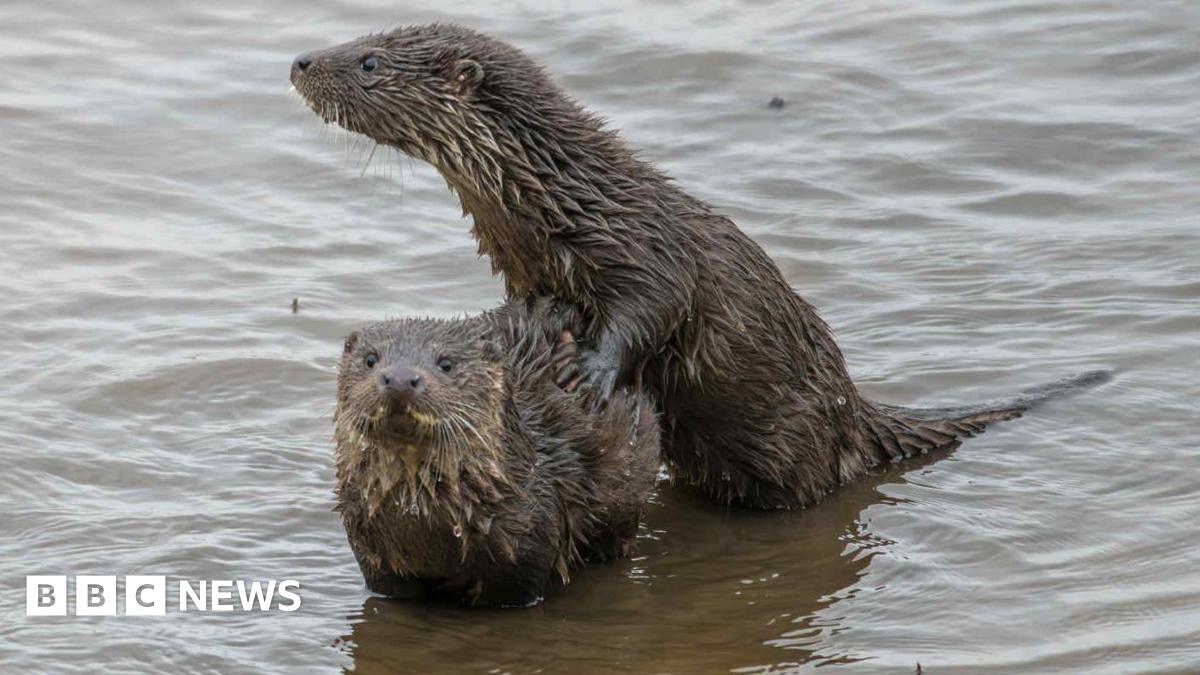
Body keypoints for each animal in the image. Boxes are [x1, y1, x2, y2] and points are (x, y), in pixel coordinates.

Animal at [295, 25, 1110, 510]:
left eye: (368, 61)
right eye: (358, 36)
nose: (301, 60)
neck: (562, 204)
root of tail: (854, 407)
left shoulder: (648, 251)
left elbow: (653, 309)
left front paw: (591, 372)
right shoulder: (526, 269)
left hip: (800, 440)